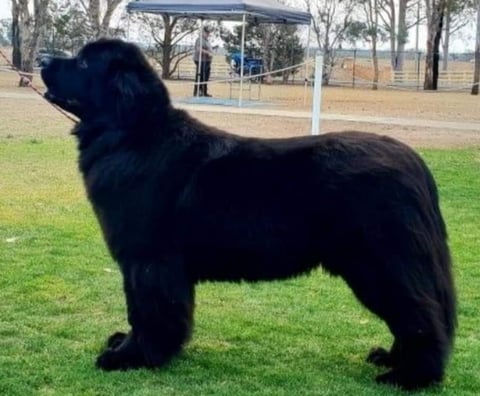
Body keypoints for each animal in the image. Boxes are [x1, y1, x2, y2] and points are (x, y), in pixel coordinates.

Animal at [40, 39, 454, 390]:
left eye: (82, 62)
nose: (42, 59)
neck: (132, 134)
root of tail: (414, 162)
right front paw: (129, 346)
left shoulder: (148, 261)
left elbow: (147, 312)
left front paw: (131, 356)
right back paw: (390, 359)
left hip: (381, 262)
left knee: (421, 316)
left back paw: (410, 376)